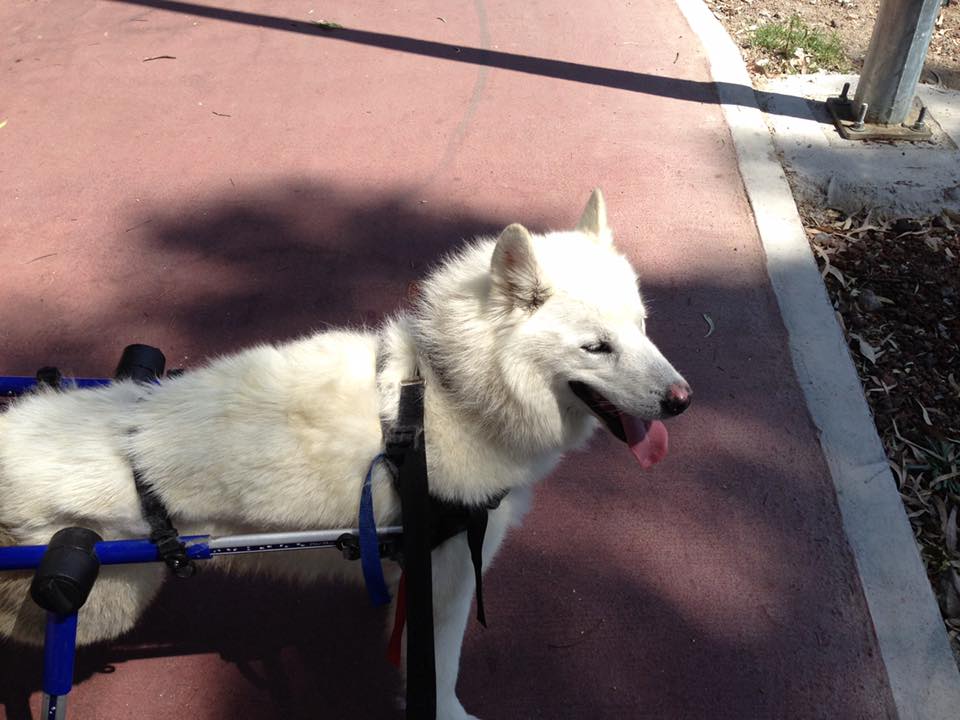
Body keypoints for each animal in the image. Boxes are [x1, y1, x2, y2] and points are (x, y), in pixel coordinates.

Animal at [0, 188, 688, 716]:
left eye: (642, 326)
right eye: (596, 347)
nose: (683, 400)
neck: (447, 395)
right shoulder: (449, 581)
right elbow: (439, 678)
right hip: (84, 603)